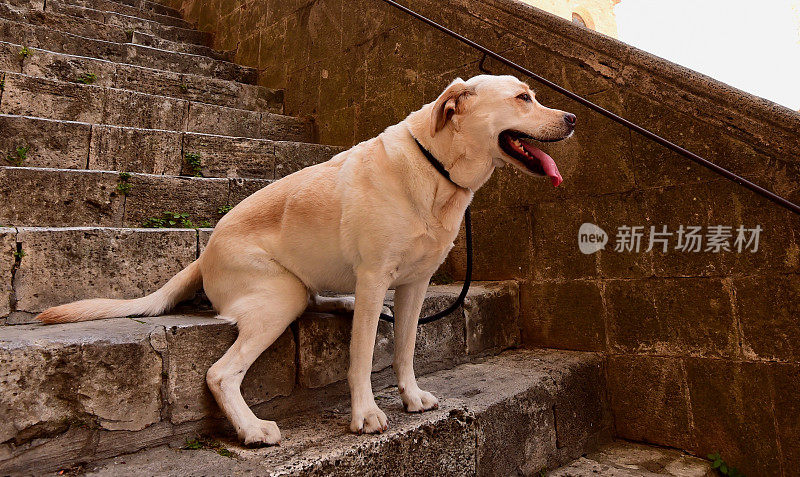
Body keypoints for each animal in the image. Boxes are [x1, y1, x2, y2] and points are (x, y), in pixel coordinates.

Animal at [39, 73, 576, 442]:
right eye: (523, 98)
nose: (573, 119)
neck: (437, 168)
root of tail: (205, 252)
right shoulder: (376, 276)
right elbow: (363, 355)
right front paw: (365, 414)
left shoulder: (414, 285)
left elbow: (404, 349)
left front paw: (410, 396)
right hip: (281, 294)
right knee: (221, 373)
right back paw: (251, 429)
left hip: (305, 289)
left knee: (328, 302)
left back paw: (345, 306)